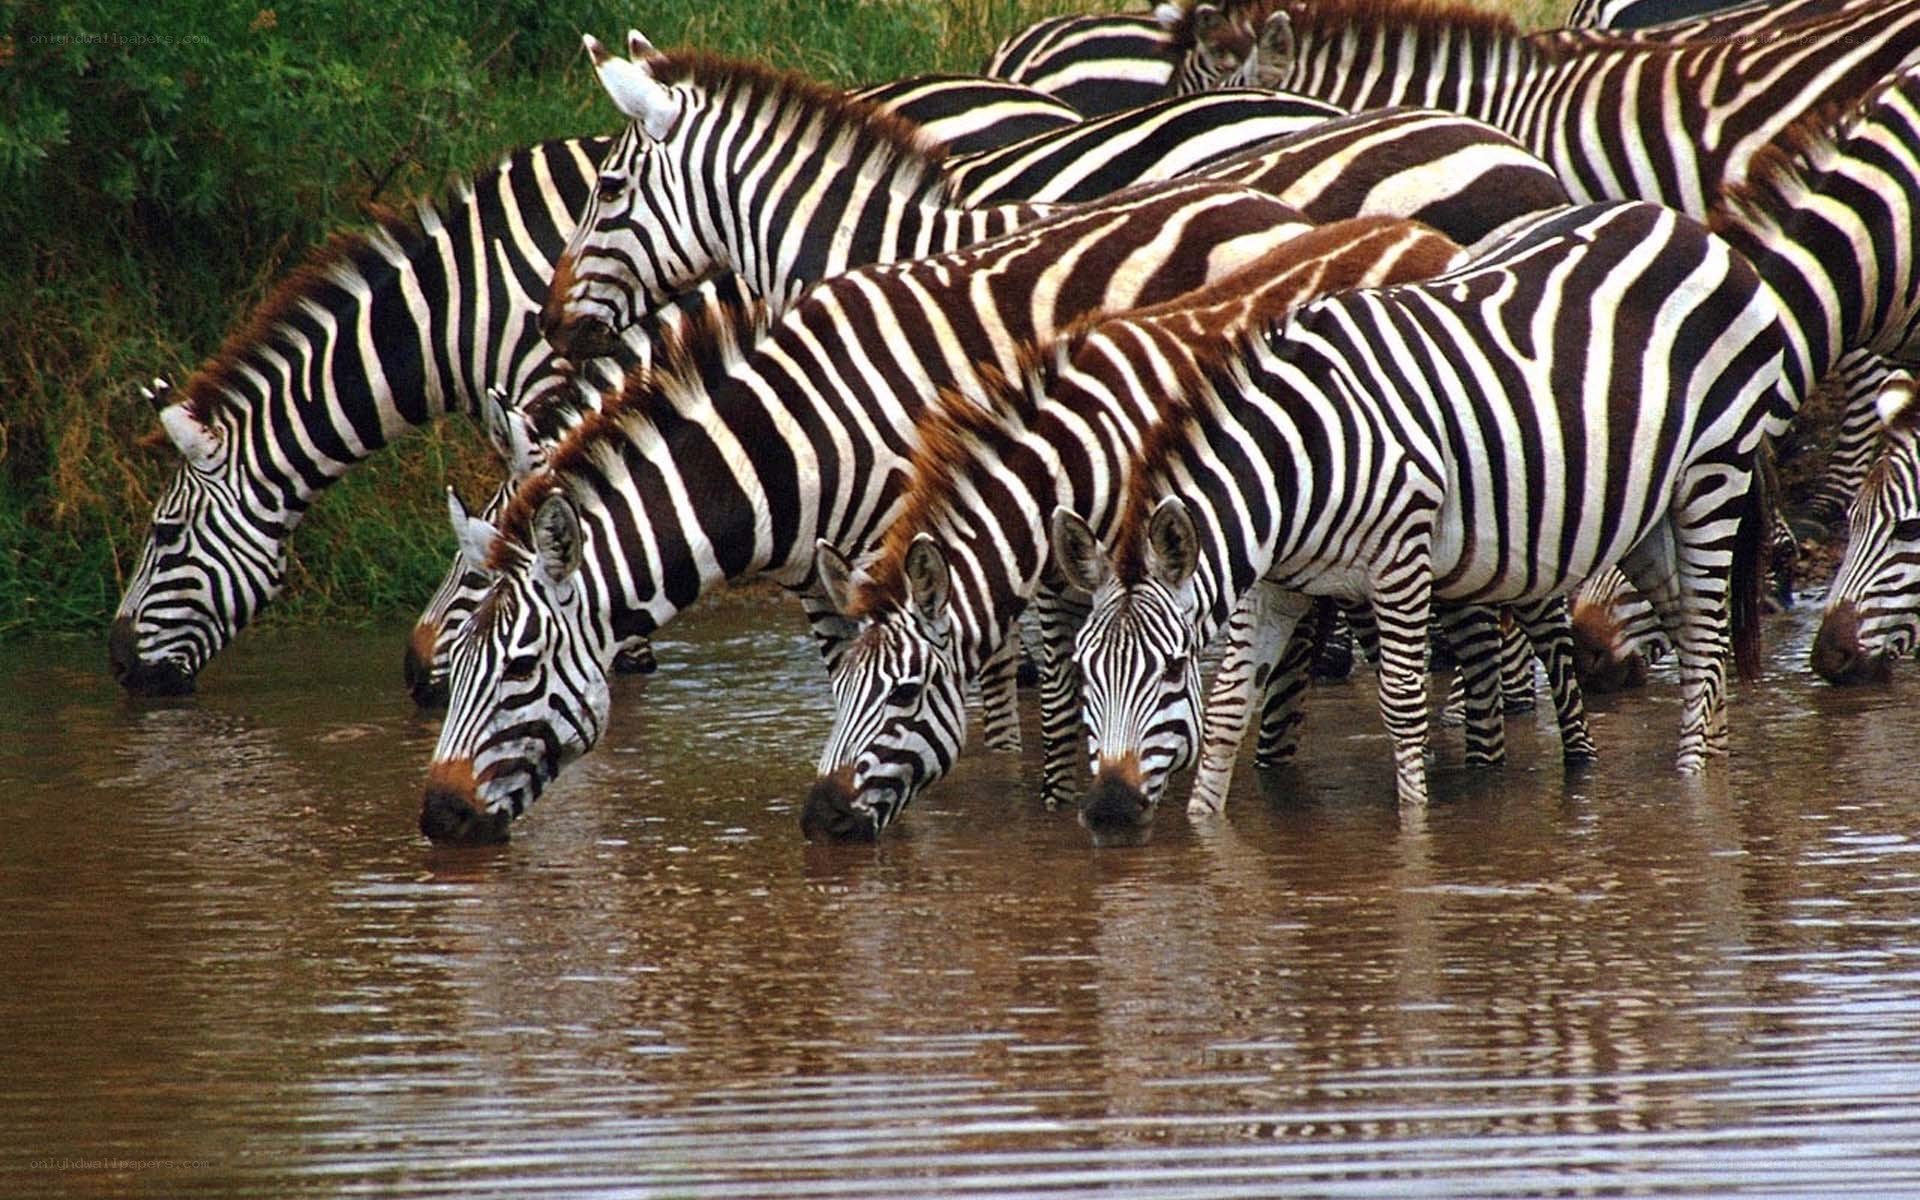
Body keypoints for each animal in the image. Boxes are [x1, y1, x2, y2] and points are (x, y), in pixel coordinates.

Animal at [419, 178, 1320, 844]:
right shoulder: (827, 583)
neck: (789, 449)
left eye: (519, 669)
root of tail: (1269, 206)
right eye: (461, 666)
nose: (438, 816)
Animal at [804, 217, 1472, 839]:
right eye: (838, 690)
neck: (1076, 455)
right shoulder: (1066, 578)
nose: (820, 819)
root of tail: (1419, 230)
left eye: (904, 693)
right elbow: (1064, 701)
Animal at [1057, 200, 1791, 826]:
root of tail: (1686, 225)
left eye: (1172, 668)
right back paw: (1715, 766)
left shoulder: (1401, 559)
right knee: (1699, 643)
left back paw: (1694, 792)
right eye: (1084, 670)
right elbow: (1230, 708)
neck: (1302, 458)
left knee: (1705, 641)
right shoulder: (1274, 583)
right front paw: (1205, 834)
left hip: (1713, 470)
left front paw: (1415, 836)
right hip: (1642, 510)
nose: (1109, 810)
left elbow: (1403, 706)